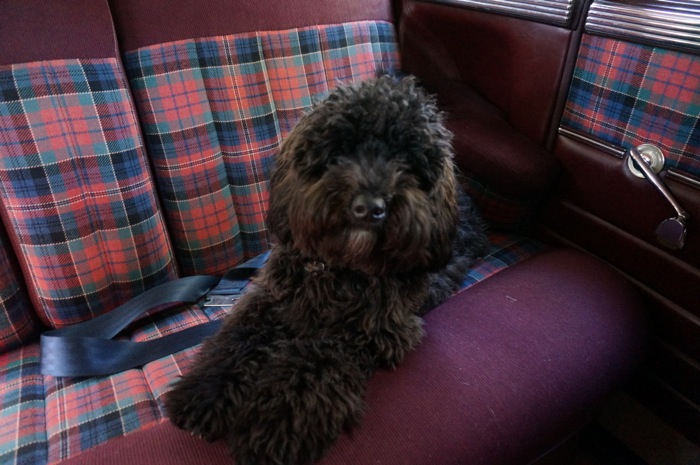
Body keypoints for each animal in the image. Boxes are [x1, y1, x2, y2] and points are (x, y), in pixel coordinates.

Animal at [166, 74, 490, 462]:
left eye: (408, 160)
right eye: (340, 150)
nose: (370, 207)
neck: (339, 267)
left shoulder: (370, 330)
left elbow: (312, 364)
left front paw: (272, 424)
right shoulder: (271, 298)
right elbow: (237, 339)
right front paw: (206, 391)